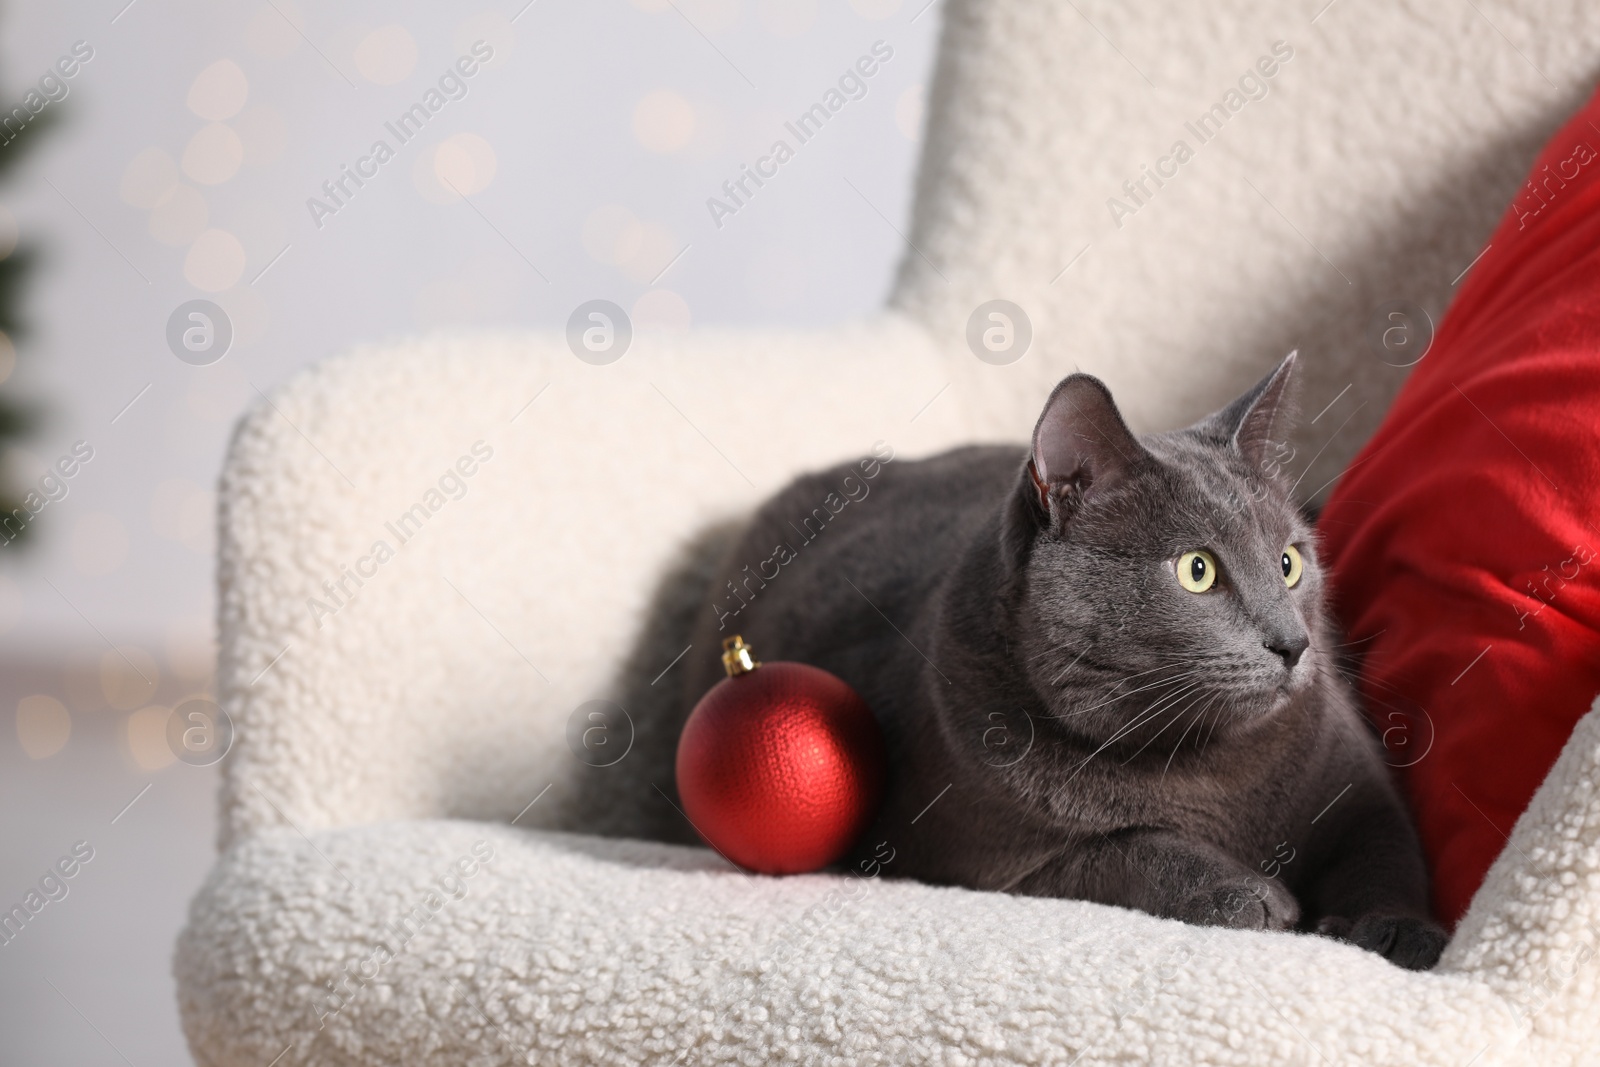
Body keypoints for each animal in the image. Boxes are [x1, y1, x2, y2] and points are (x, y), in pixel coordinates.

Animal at [678, 355, 1452, 972]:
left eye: (1291, 562)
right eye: (1197, 570)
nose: (1294, 643)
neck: (1207, 769)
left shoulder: (1360, 784)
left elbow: (1387, 848)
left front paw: (1401, 931)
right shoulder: (992, 858)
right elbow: (1130, 845)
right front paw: (1249, 894)